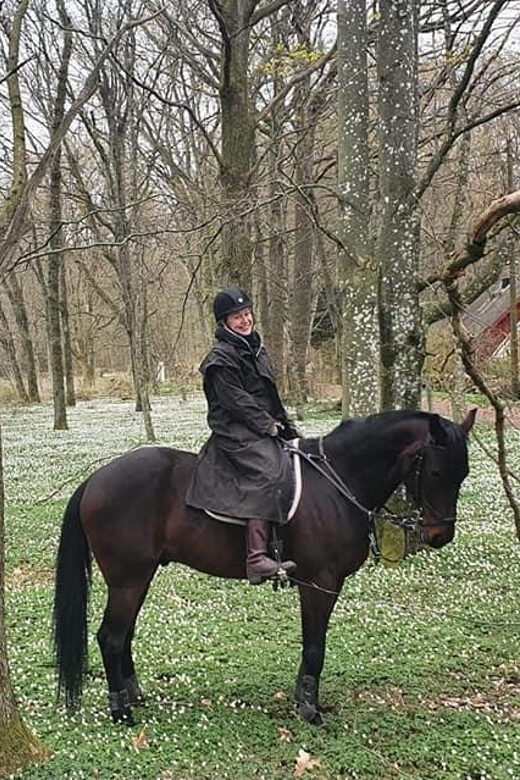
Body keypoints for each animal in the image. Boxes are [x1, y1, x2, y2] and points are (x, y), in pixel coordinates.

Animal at [53, 408, 475, 727]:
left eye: (464, 474)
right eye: (437, 472)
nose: (441, 535)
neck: (338, 481)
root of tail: (94, 480)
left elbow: (310, 645)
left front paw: (302, 698)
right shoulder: (321, 583)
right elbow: (315, 646)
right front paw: (310, 710)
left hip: (138, 578)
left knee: (124, 636)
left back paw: (133, 697)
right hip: (128, 579)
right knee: (111, 637)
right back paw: (121, 712)